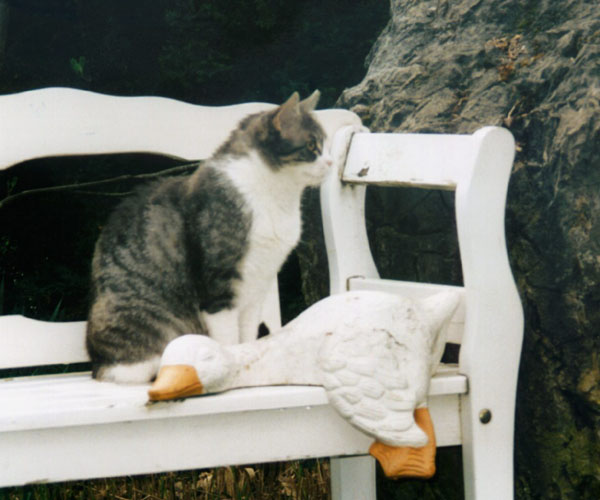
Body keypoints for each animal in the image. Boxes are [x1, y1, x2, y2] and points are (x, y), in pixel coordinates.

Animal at [86, 90, 332, 383]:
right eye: (312, 146)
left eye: (326, 144)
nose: (332, 162)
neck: (274, 194)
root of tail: (95, 365)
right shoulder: (219, 288)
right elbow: (228, 341)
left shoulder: (256, 289)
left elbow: (247, 337)